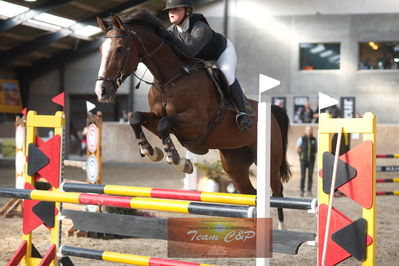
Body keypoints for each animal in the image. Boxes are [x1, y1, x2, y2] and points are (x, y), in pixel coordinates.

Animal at [95, 10, 292, 229]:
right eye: (101, 49)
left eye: (120, 49)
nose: (102, 91)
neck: (169, 80)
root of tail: (272, 112)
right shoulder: (158, 117)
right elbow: (136, 118)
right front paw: (150, 151)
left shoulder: (196, 124)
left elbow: (165, 125)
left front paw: (179, 162)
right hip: (234, 162)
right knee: (250, 192)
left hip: (269, 161)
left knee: (277, 191)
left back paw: (281, 226)